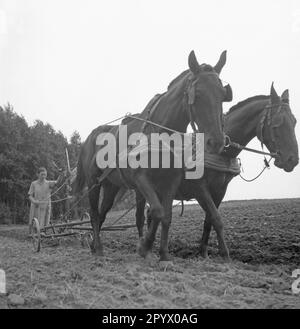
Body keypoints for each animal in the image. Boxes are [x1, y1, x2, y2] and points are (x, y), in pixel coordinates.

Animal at [74, 50, 232, 260]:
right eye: (197, 94)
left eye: (223, 95)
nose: (217, 142)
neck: (161, 134)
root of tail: (89, 137)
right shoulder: (141, 178)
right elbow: (157, 211)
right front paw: (145, 246)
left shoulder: (171, 181)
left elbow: (167, 216)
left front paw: (163, 254)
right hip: (94, 182)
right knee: (93, 213)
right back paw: (98, 248)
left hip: (111, 186)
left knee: (102, 213)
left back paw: (93, 245)